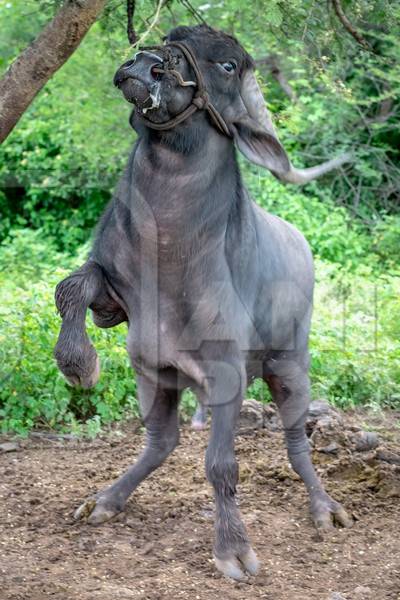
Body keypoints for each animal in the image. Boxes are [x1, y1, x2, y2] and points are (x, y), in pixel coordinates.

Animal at [54, 24, 352, 580]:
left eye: (229, 64)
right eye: (170, 36)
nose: (146, 65)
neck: (169, 247)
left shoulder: (226, 373)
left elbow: (221, 465)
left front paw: (233, 550)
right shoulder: (120, 311)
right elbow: (75, 285)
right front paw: (78, 364)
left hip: (290, 366)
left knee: (296, 442)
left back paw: (325, 508)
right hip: (156, 379)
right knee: (161, 441)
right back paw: (105, 499)